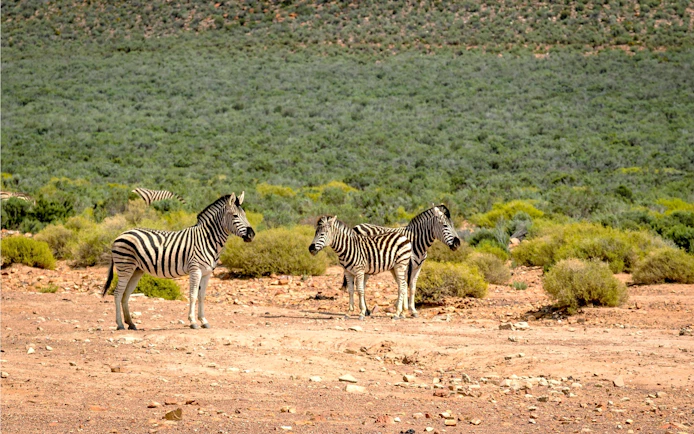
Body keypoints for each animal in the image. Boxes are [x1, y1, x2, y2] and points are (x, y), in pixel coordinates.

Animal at [102, 192, 255, 330]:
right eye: (235, 216)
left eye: (245, 215)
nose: (252, 235)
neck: (207, 239)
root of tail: (120, 234)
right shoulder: (195, 270)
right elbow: (193, 295)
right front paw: (193, 322)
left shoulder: (207, 273)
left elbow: (202, 296)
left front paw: (204, 321)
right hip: (125, 267)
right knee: (118, 293)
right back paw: (120, 324)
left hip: (136, 270)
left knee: (126, 295)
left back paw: (131, 324)